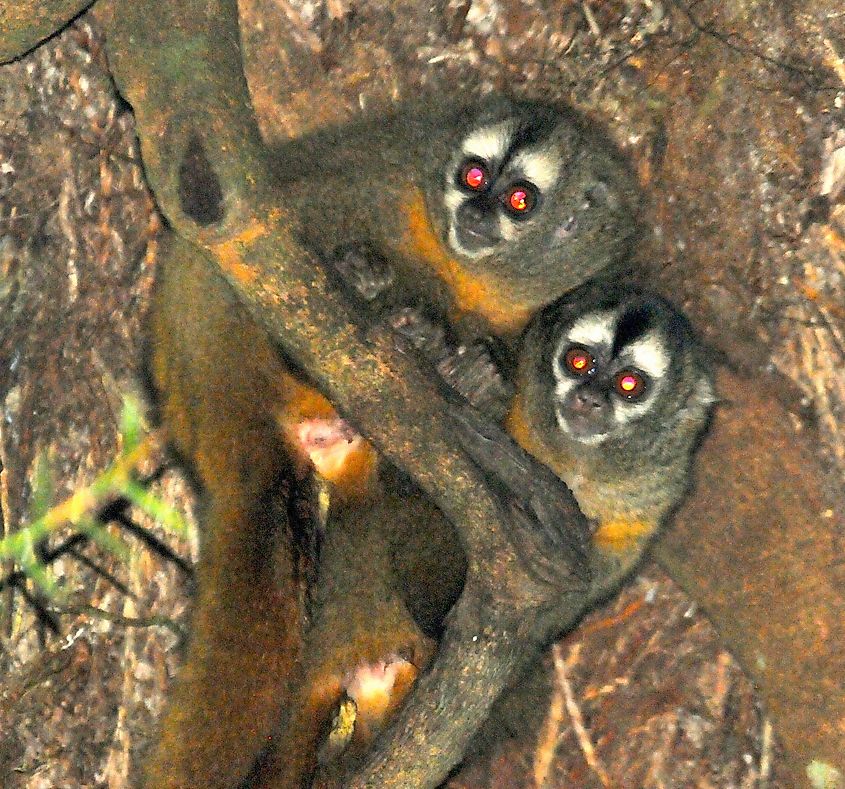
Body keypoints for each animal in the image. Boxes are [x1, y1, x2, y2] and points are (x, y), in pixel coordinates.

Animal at [143, 94, 638, 789]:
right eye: (473, 176)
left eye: (519, 200)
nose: (475, 214)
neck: (476, 271)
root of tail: (207, 420)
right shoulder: (382, 175)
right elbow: (287, 209)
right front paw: (366, 273)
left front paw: (479, 373)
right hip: (215, 322)